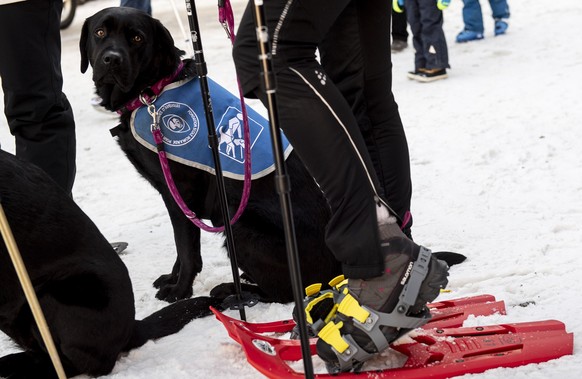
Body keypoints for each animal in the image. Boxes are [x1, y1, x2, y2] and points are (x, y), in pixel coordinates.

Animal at [80, 7, 468, 306]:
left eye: (137, 38)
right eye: (100, 33)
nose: (111, 59)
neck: (153, 89)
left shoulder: (182, 193)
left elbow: (187, 248)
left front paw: (180, 290)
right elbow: (182, 247)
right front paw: (173, 279)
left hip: (240, 227)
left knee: (289, 293)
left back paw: (235, 292)